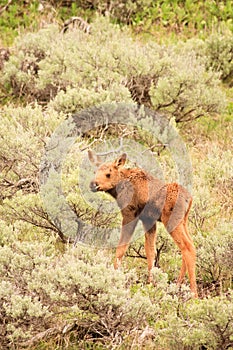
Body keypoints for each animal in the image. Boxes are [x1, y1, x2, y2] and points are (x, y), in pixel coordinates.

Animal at [88, 150, 198, 298]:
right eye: (95, 171)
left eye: (108, 174)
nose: (93, 184)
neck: (118, 189)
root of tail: (189, 199)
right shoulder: (148, 220)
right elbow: (150, 251)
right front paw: (150, 283)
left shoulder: (129, 214)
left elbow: (121, 248)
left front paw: (114, 276)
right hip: (183, 221)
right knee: (188, 245)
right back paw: (177, 286)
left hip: (172, 221)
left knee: (188, 247)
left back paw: (193, 294)